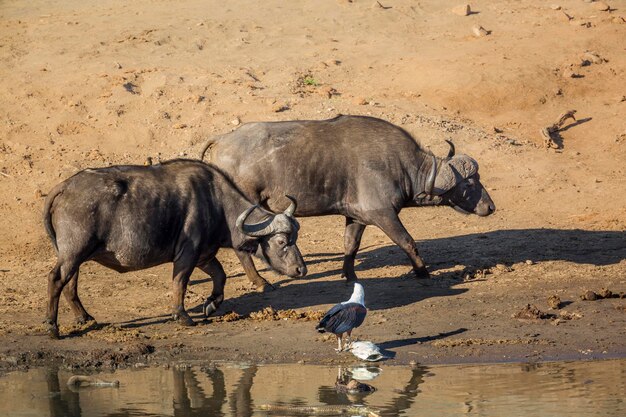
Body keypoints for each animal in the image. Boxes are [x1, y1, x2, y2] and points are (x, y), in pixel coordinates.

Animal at [41, 159, 304, 338]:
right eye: (282, 242)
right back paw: (52, 327)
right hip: (74, 252)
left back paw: (84, 318)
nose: (302, 269)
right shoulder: (187, 254)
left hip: (74, 255)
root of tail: (65, 186)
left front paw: (212, 303)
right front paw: (182, 315)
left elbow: (220, 276)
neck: (215, 201)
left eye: (296, 237)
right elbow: (180, 282)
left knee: (70, 284)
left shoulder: (204, 255)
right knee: (56, 279)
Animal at [202, 115, 494, 288]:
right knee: (243, 247)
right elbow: (408, 241)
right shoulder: (383, 214)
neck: (400, 165)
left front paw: (349, 274)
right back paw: (260, 281)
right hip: (248, 208)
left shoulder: (356, 217)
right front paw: (422, 272)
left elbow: (350, 246)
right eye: (469, 183)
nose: (490, 207)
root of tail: (223, 139)